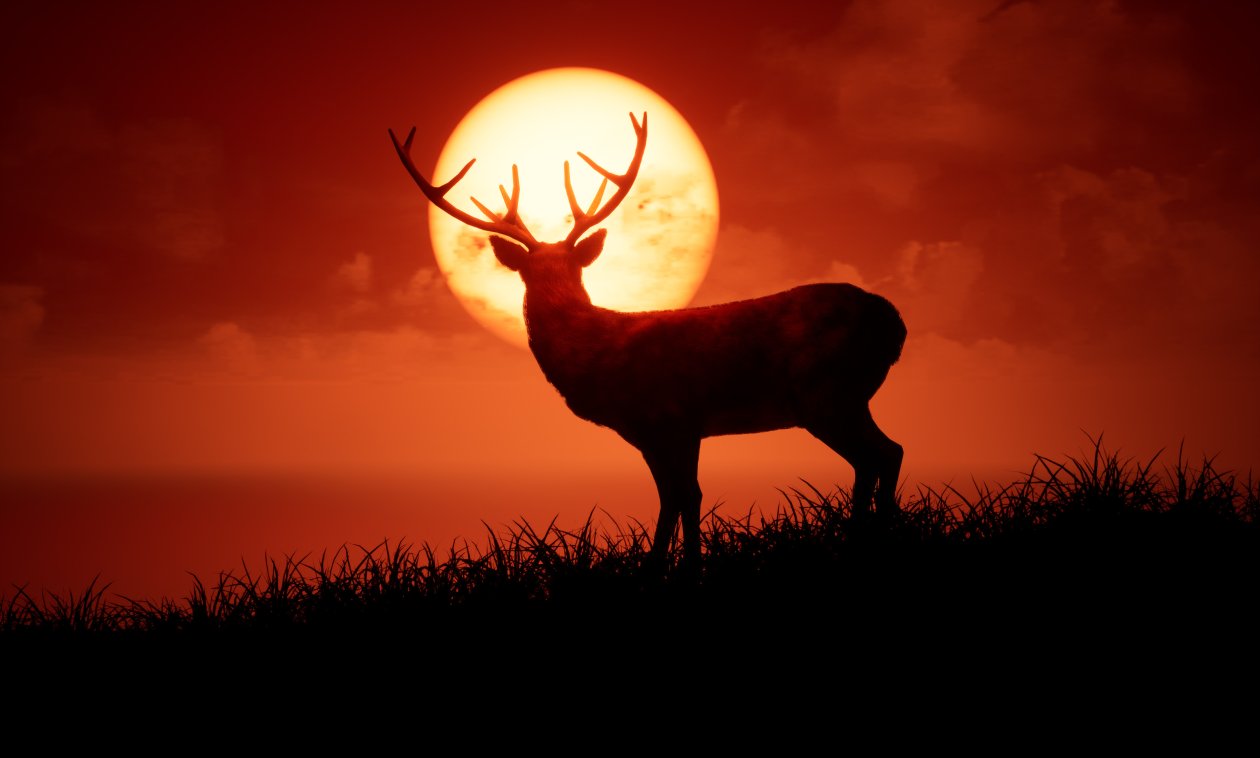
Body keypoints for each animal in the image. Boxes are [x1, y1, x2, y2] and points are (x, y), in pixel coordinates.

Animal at [390, 112, 906, 571]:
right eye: (531, 272)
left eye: (570, 267)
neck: (598, 354)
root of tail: (894, 321)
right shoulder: (652, 431)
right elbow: (676, 495)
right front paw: (668, 565)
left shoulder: (673, 416)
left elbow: (683, 494)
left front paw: (678, 569)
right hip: (845, 398)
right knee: (883, 454)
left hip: (826, 394)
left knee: (881, 454)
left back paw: (868, 543)